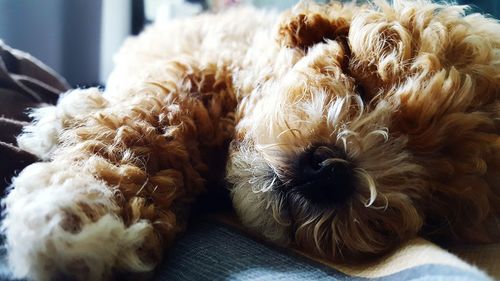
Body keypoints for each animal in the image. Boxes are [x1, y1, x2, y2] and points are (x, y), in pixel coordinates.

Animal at [1, 0, 498, 280]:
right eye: (360, 80)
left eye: (433, 209)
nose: (332, 172)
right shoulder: (206, 72)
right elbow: (153, 116)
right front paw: (79, 206)